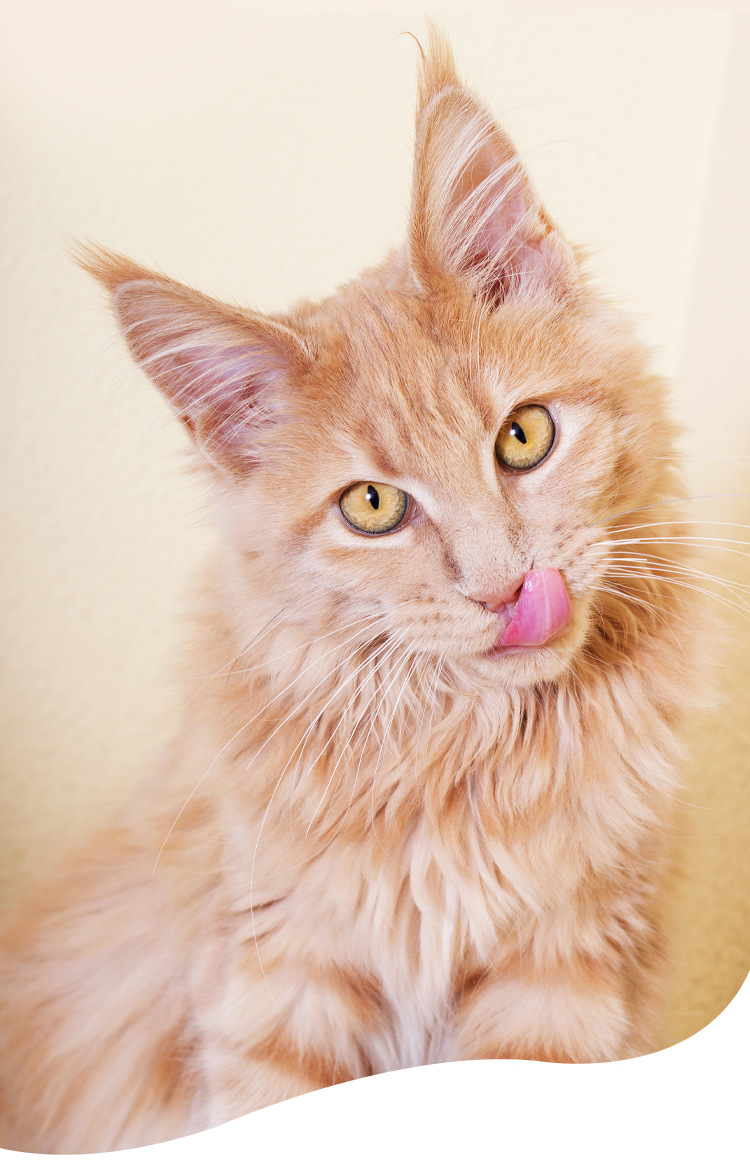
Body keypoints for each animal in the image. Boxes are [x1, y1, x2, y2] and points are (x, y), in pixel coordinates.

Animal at [0, 29, 706, 1154]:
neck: (464, 759)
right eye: (372, 506)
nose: (508, 586)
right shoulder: (281, 983)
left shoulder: (564, 973)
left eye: (523, 436)